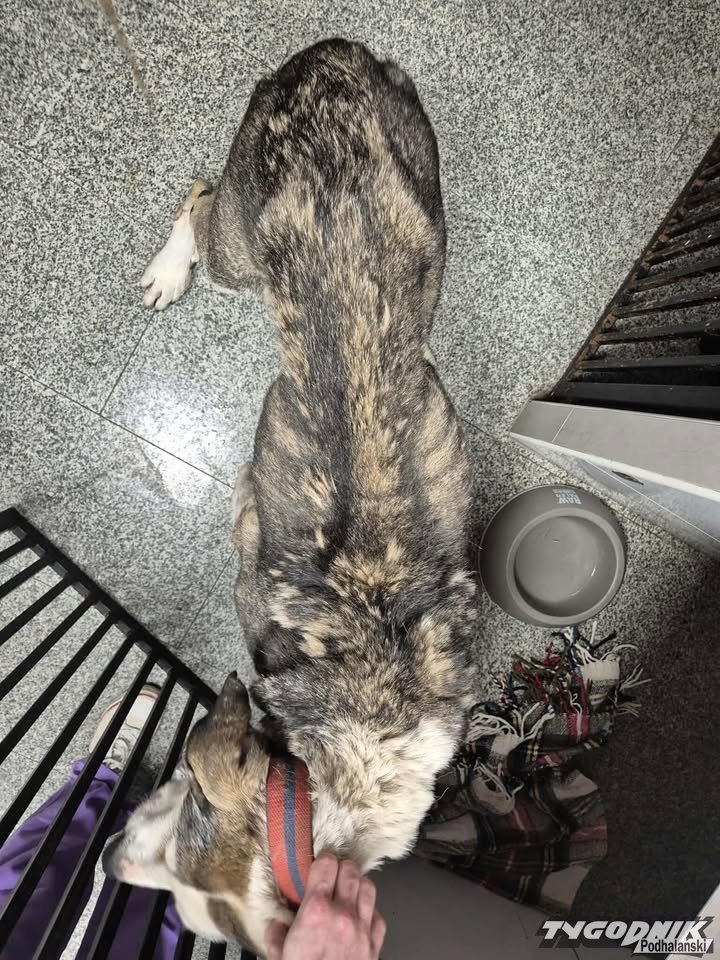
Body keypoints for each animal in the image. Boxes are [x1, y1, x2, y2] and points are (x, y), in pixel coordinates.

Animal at [103, 38, 477, 953]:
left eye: (183, 900)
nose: (106, 863)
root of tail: (333, 58)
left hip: (419, 197)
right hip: (248, 241)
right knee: (200, 193)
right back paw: (168, 273)